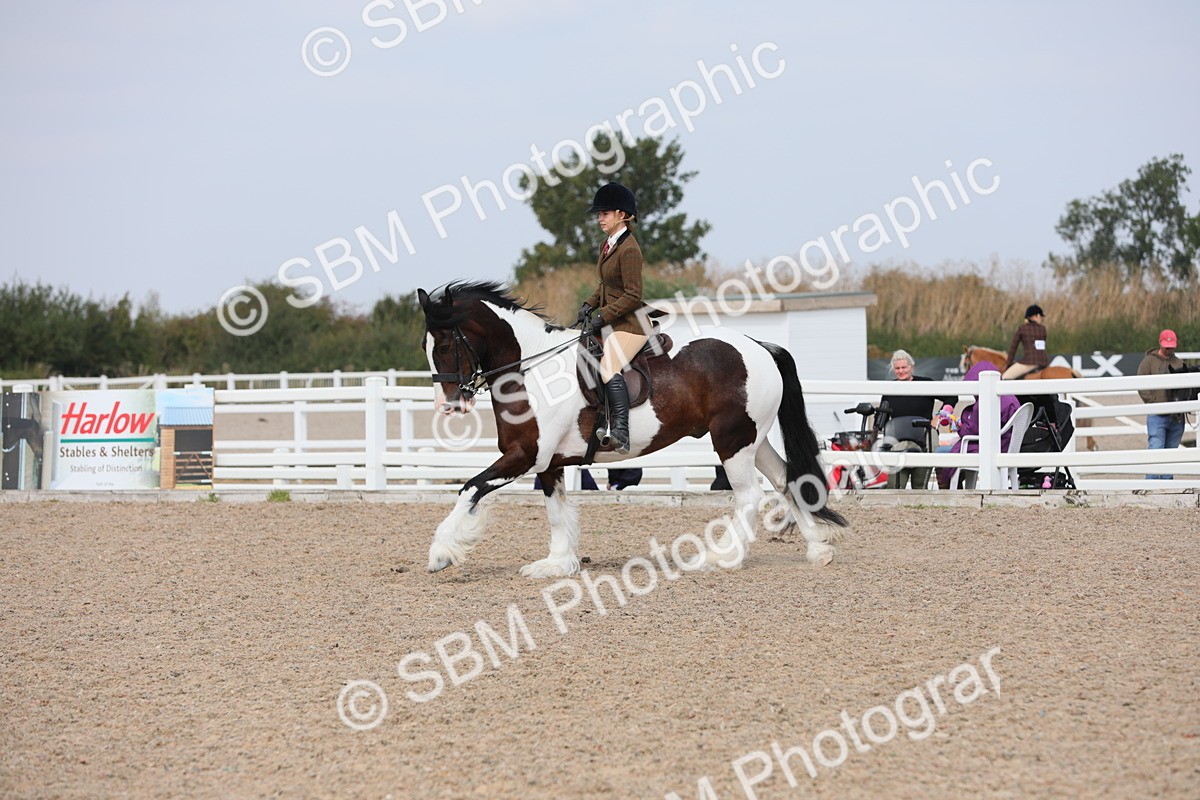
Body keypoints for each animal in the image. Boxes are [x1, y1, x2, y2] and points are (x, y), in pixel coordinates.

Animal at [418, 281, 848, 578]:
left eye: (445, 345)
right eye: (427, 347)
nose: (451, 405)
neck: (532, 368)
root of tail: (759, 345)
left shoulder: (524, 457)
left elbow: (470, 488)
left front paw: (441, 553)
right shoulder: (549, 463)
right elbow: (556, 512)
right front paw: (556, 564)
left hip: (732, 441)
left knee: (749, 496)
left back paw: (721, 557)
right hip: (752, 440)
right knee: (786, 480)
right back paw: (819, 550)